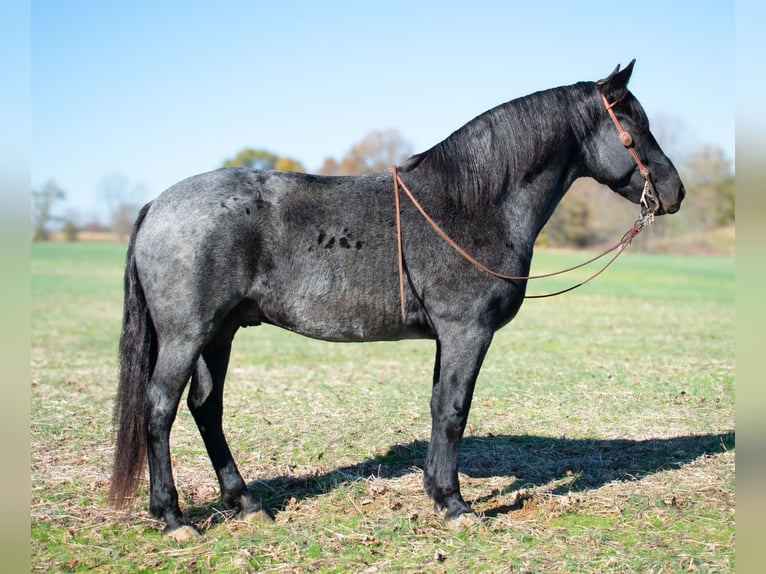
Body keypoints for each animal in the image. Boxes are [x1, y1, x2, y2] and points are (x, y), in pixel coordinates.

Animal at [106, 59, 684, 540]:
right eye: (631, 125)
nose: (674, 191)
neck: (472, 204)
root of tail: (157, 204)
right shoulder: (467, 332)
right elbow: (453, 410)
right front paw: (454, 505)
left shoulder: (448, 338)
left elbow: (438, 405)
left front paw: (436, 492)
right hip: (187, 335)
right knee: (160, 409)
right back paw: (174, 518)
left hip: (219, 332)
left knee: (207, 407)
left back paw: (244, 503)